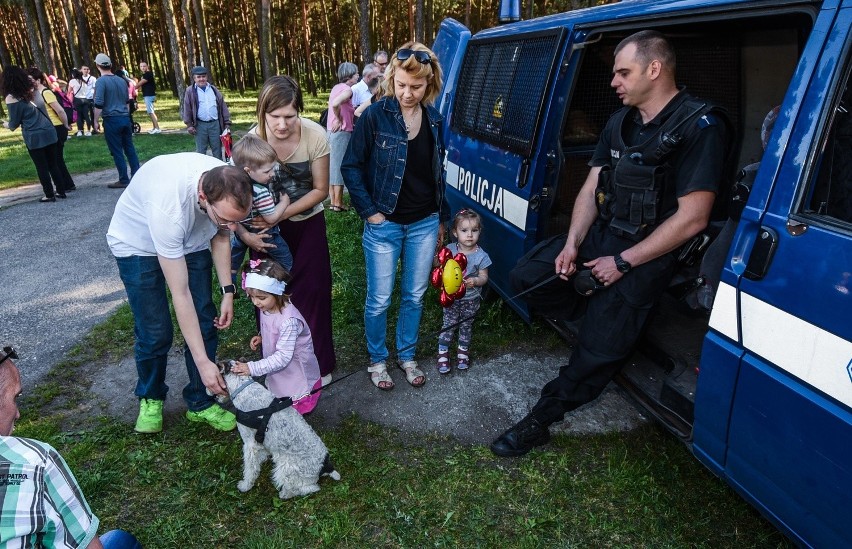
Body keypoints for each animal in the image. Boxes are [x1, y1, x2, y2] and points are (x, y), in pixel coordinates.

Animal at [218, 362, 342, 498]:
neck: (243, 386)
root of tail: (326, 465)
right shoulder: (259, 441)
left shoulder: (249, 444)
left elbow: (250, 468)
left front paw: (245, 486)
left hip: (285, 469)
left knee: (310, 488)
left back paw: (285, 494)